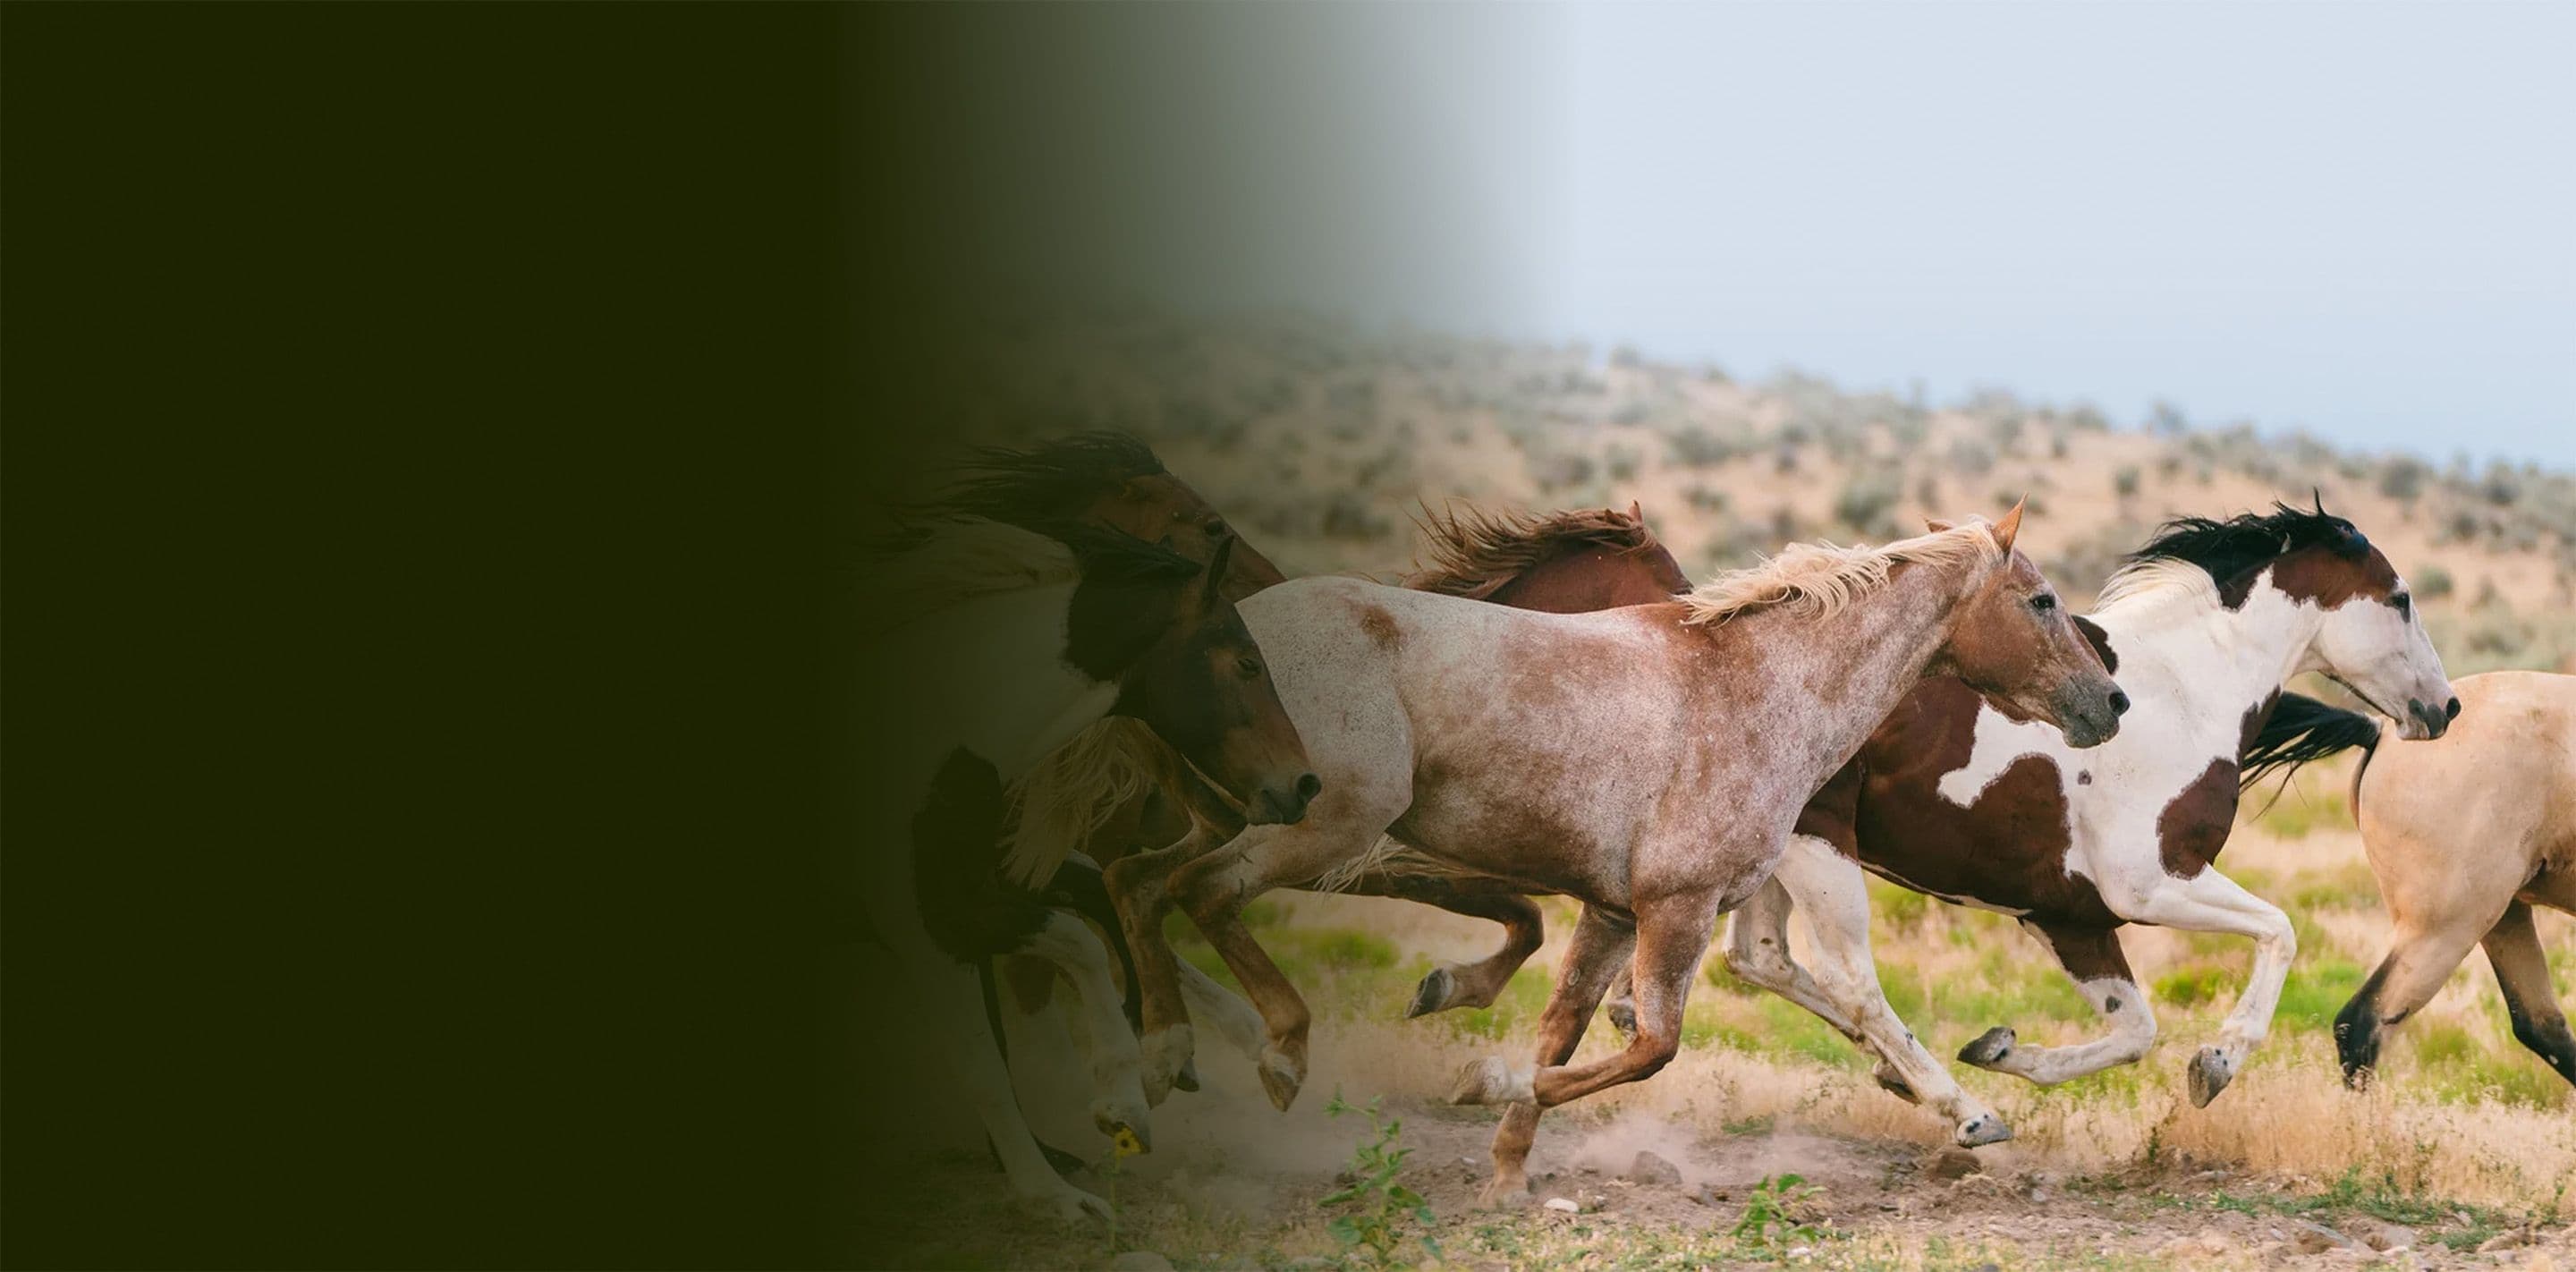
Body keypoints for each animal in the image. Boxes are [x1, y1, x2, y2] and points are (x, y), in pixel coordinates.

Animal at [852, 518, 1314, 1222]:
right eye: (1247, 663)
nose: (1304, 783)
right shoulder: (924, 919)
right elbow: (989, 1059)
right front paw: (1062, 1181)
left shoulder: (971, 898)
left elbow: (1083, 932)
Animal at [1148, 506, 2126, 1199]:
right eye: (2041, 600)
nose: (2110, 703)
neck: (1757, 688)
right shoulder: (1676, 908)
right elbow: (1653, 1046)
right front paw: (1479, 1080)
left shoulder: (1615, 912)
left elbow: (1562, 1032)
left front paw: (1504, 1173)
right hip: (1326, 825)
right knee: (1196, 892)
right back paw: (1268, 1056)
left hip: (1236, 819)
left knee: (1143, 890)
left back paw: (1176, 1055)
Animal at [1579, 500, 2454, 1149]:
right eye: (2402, 599)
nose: (2443, 709)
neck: (2186, 688)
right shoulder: (2149, 884)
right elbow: (2278, 932)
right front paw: (2216, 1064)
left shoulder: (2068, 915)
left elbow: (2134, 1030)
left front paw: (1999, 1048)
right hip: (1817, 850)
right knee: (1844, 977)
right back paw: (1964, 1113)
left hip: (1786, 852)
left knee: (1759, 958)